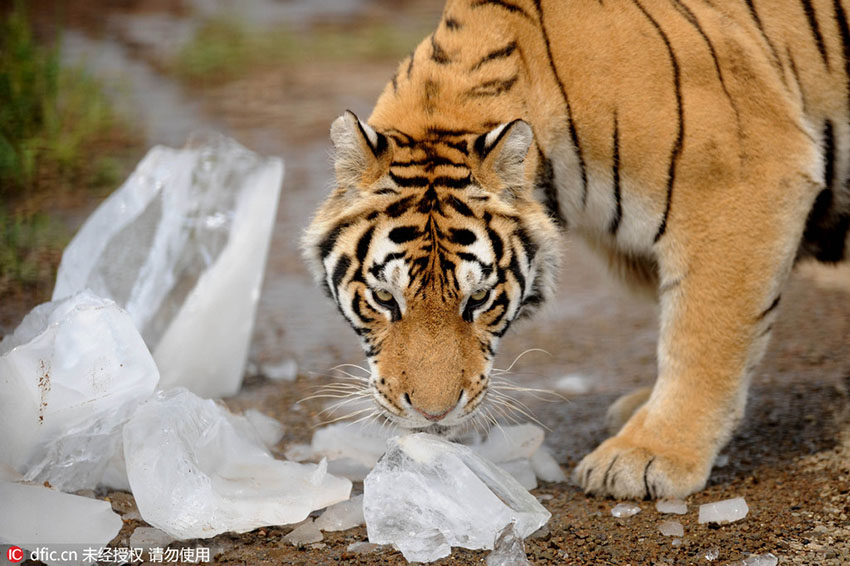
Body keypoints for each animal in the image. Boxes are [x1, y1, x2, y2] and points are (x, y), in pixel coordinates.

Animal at [302, 0, 848, 502]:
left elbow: (704, 333)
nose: (433, 413)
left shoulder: (744, 182)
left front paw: (649, 454)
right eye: (384, 299)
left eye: (478, 300)